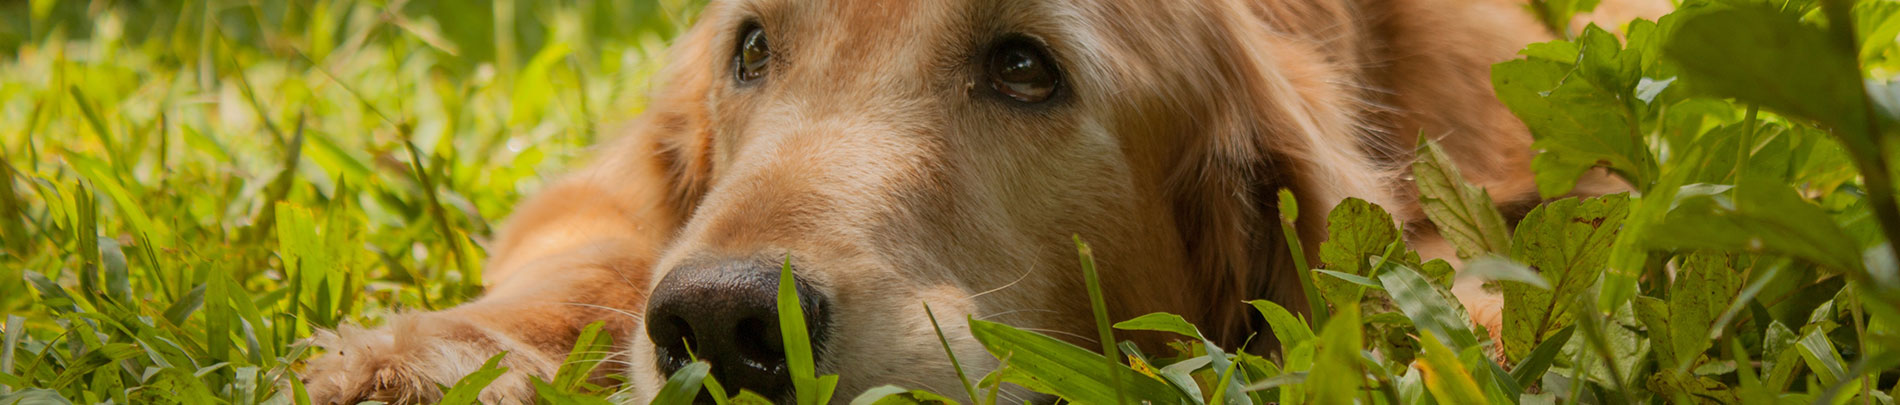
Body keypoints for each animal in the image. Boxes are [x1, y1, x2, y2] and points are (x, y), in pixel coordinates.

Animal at [300, 0, 1664, 401]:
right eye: (753, 47)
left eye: (1022, 66)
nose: (726, 325)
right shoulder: (601, 190)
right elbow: (598, 251)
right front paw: (420, 356)